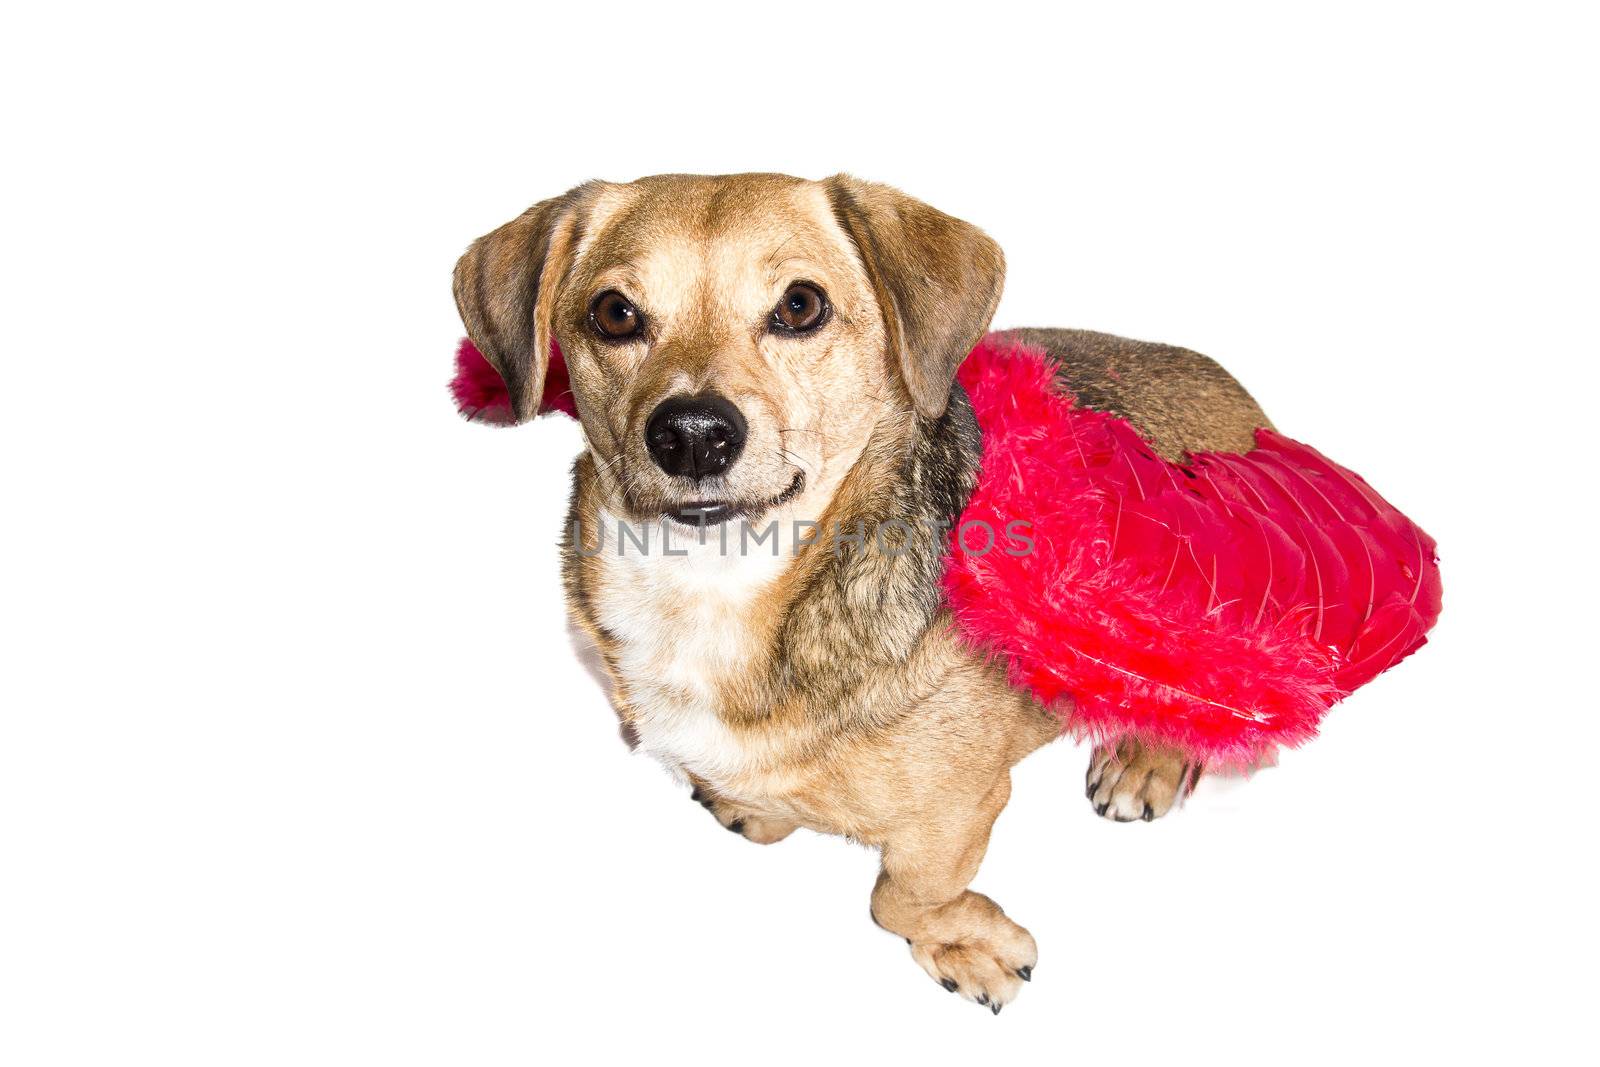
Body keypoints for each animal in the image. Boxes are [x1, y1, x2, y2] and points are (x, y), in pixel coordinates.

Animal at [454, 171, 1273, 1017]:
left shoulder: (954, 811)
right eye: (614, 313)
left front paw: (964, 942)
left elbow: (898, 899)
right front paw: (753, 804)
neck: (714, 592)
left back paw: (1146, 760)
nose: (691, 434)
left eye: (800, 305)